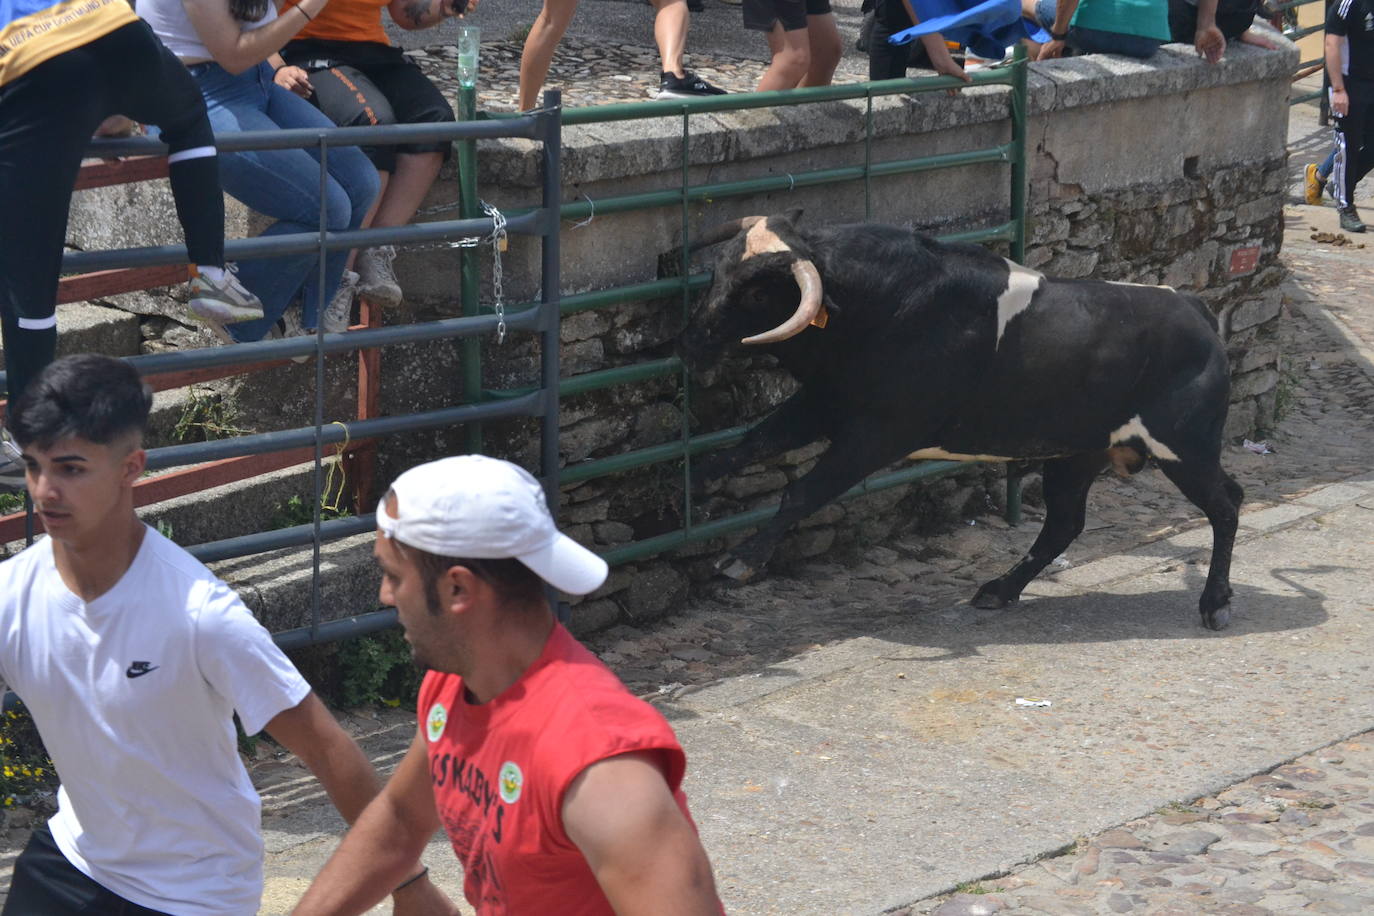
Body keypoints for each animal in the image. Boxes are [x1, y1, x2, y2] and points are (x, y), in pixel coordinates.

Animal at [678, 212, 1247, 631]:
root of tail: (1193, 307)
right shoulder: (822, 403)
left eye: (756, 293)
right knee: (1064, 523)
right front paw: (688, 495)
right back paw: (999, 589)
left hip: (1186, 449)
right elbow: (746, 447)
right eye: (717, 272)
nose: (688, 345)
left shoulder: (878, 433)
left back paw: (1216, 603)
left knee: (1225, 504)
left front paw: (740, 559)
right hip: (1077, 454)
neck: (882, 306)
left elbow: (802, 492)